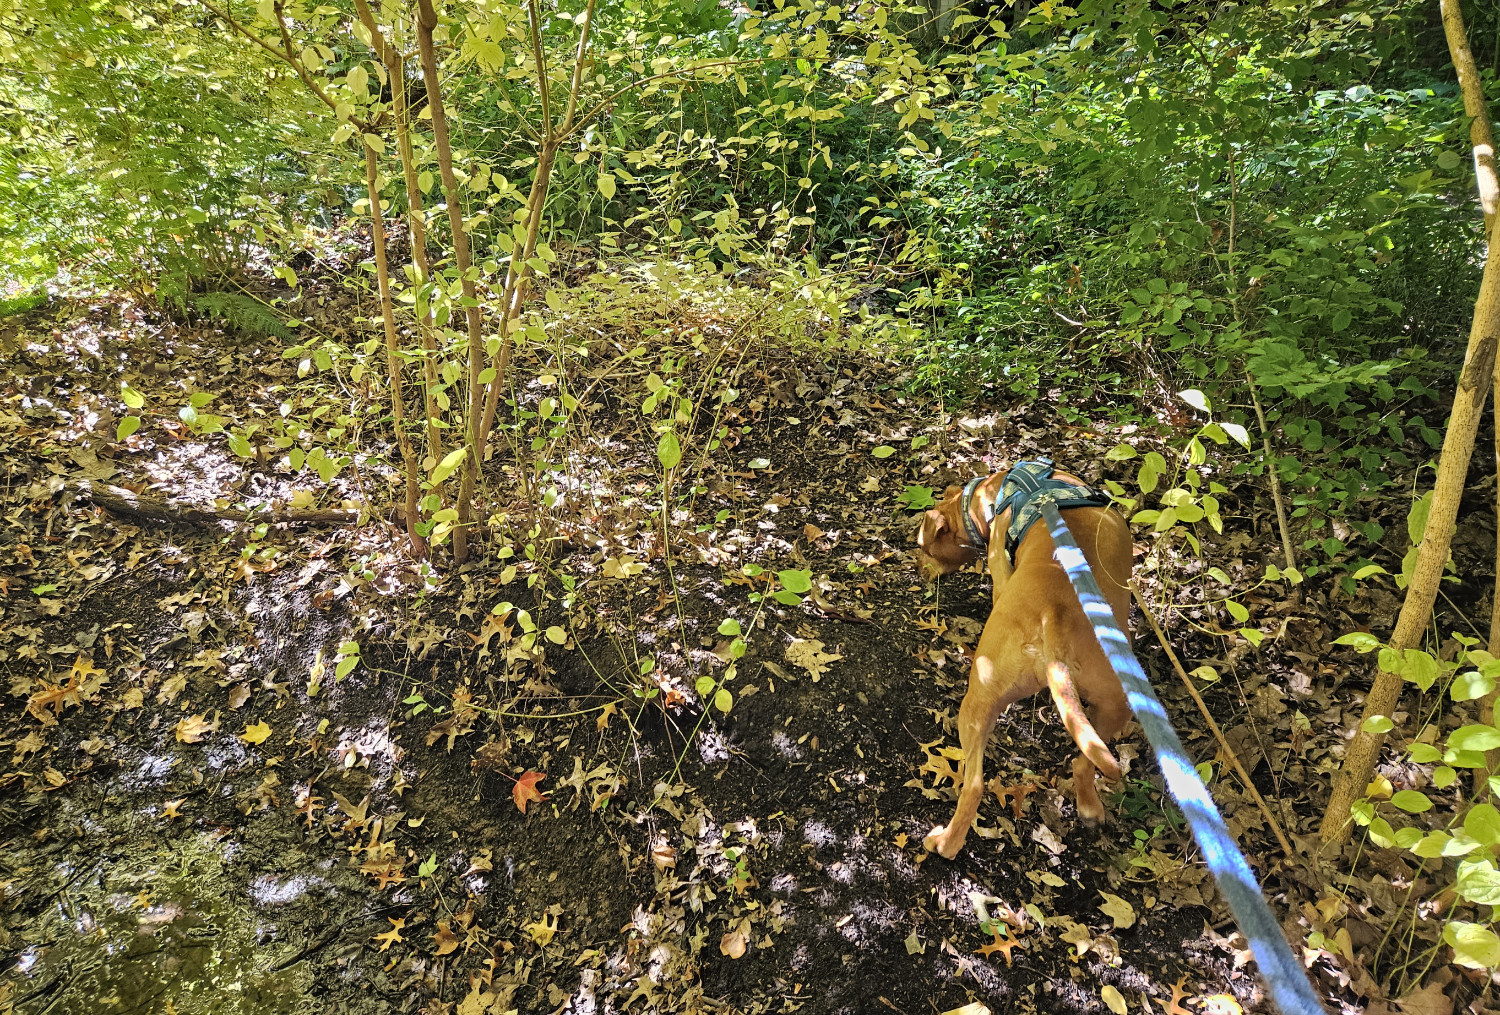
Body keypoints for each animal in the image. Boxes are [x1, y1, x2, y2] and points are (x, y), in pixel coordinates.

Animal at [906, 464, 1128, 857]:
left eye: (922, 547)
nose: (918, 571)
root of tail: (1054, 618)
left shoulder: (999, 567)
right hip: (1116, 706)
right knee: (1084, 762)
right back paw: (1089, 807)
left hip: (977, 695)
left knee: (974, 785)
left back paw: (945, 843)